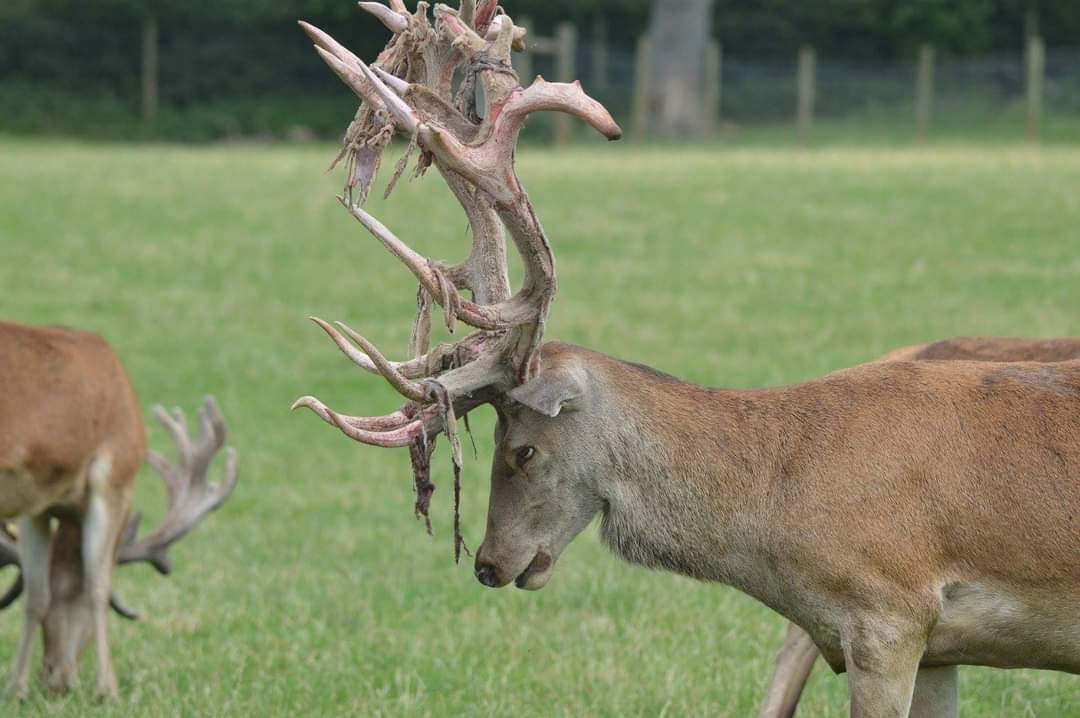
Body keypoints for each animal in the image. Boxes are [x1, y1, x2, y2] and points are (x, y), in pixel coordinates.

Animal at [0, 320, 238, 699]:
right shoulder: (114, 477)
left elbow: (37, 594)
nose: (56, 678)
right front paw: (108, 690)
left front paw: (15, 690)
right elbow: (98, 584)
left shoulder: (37, 505)